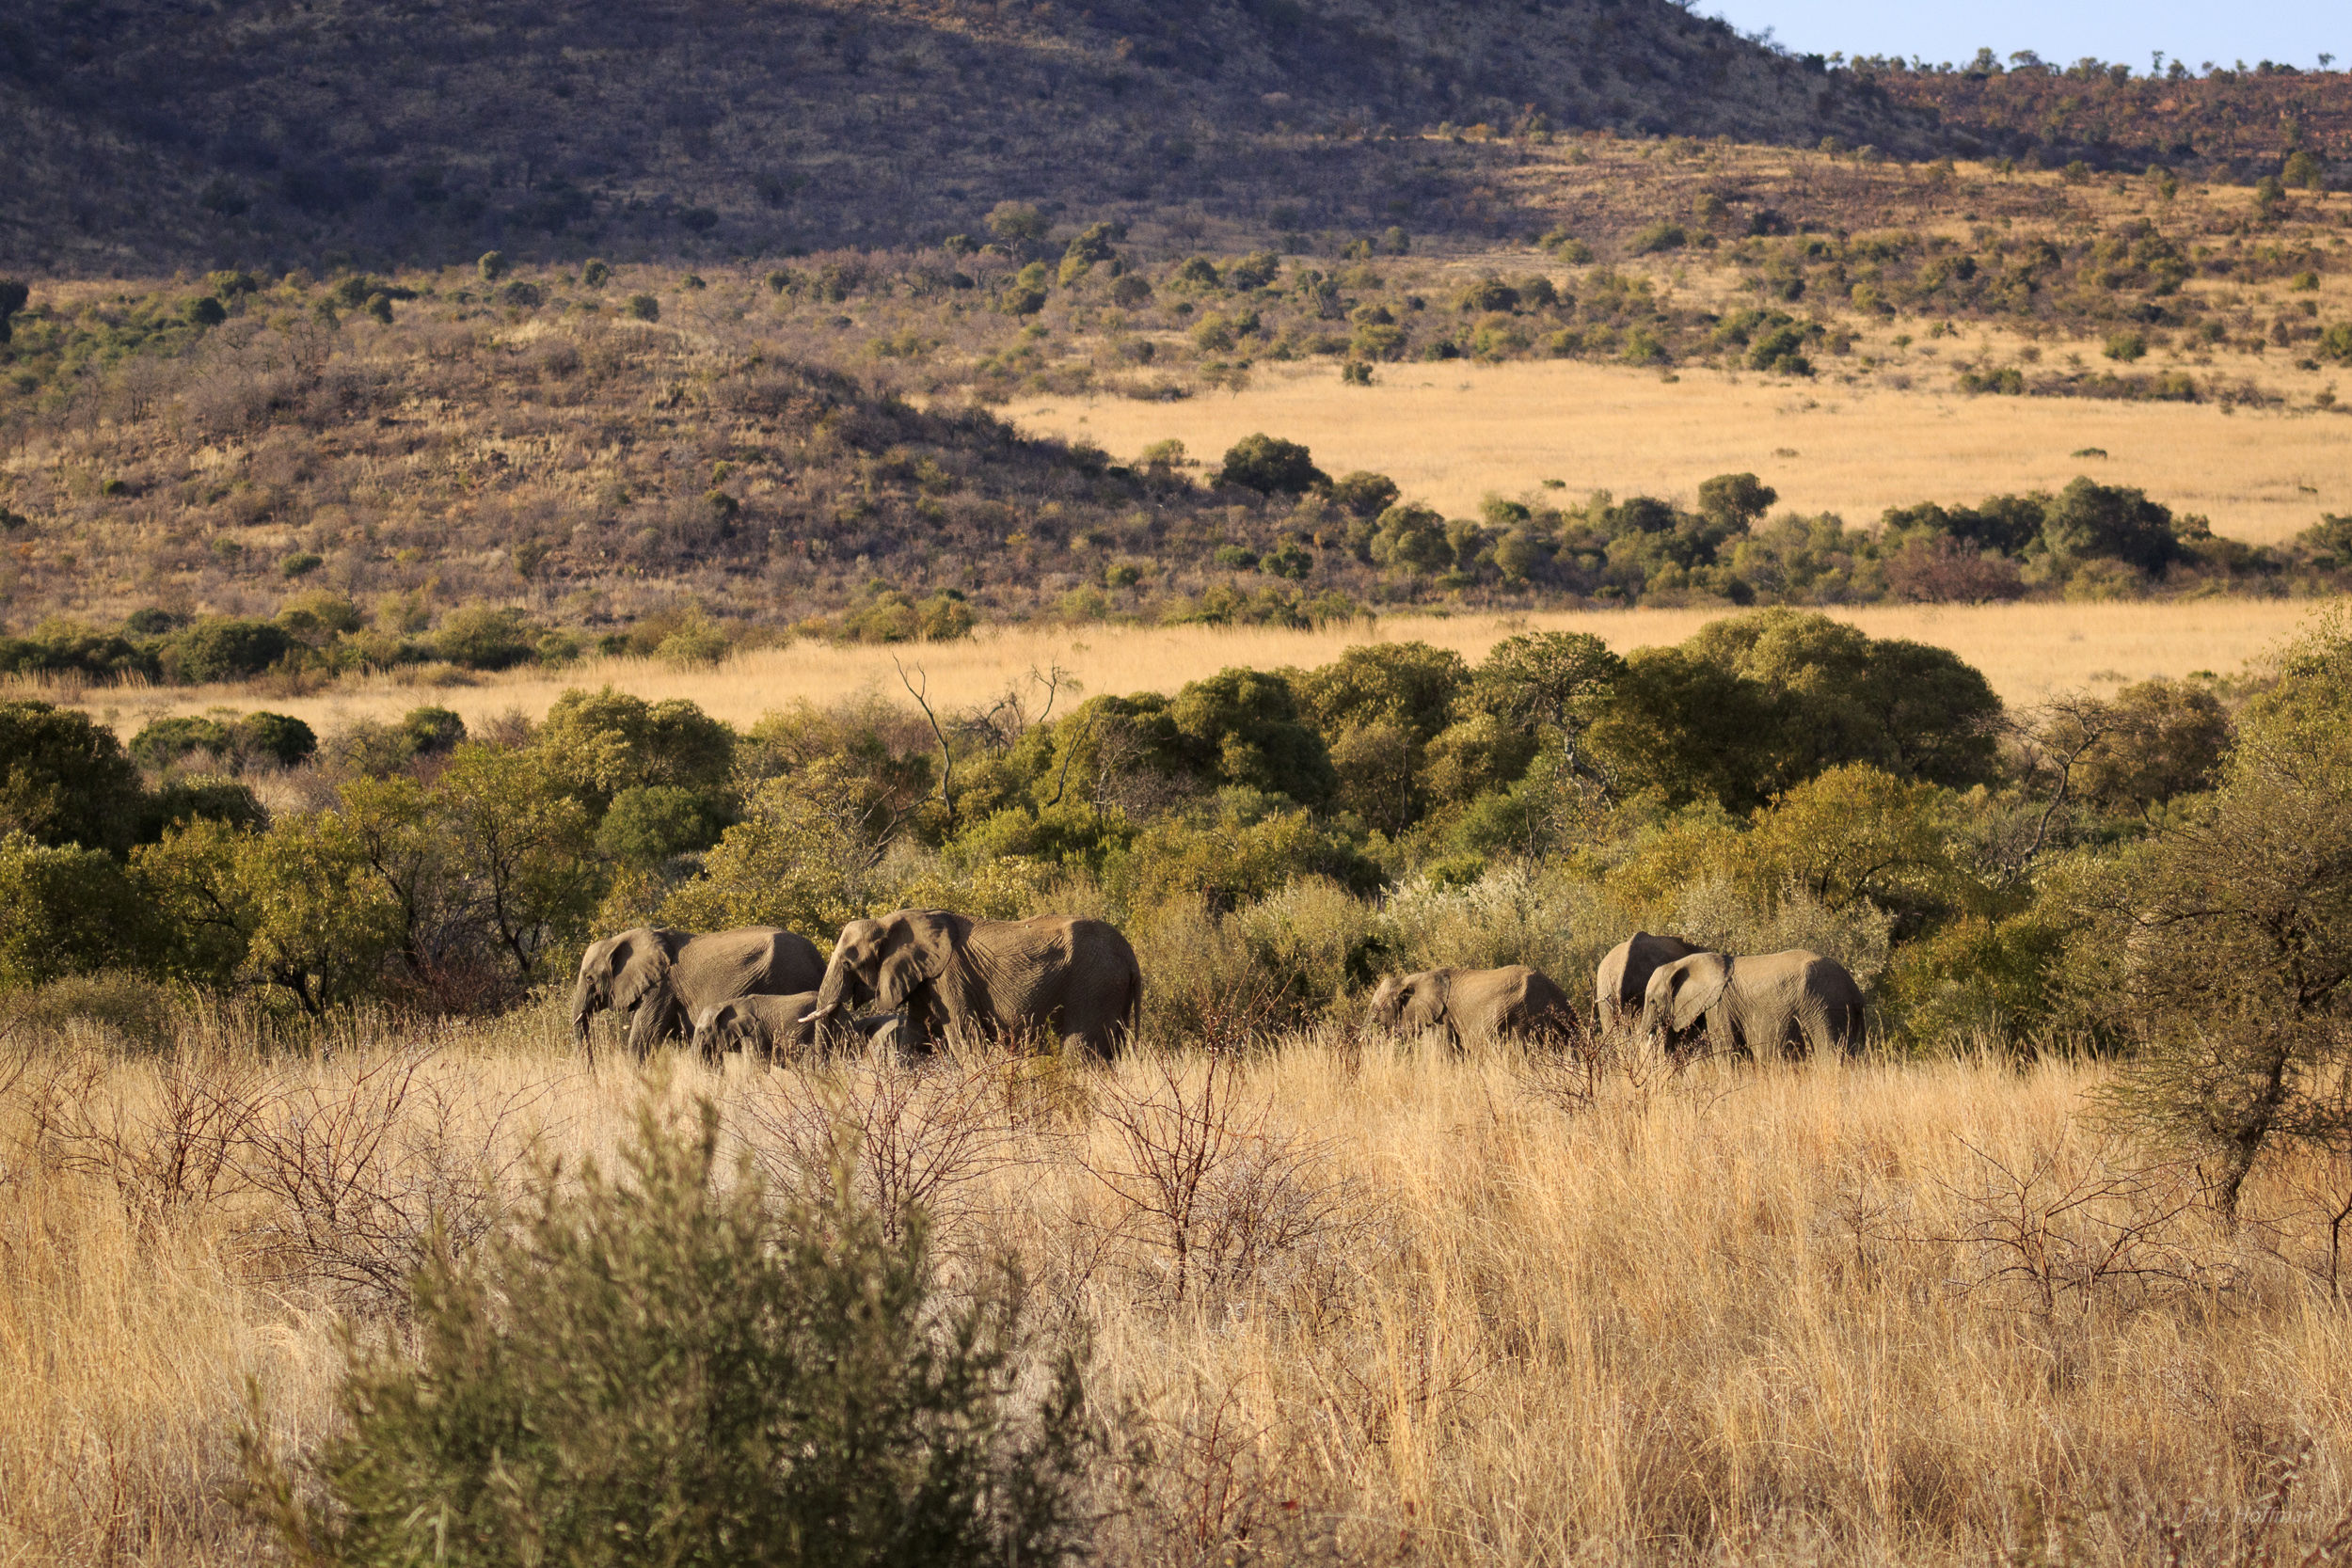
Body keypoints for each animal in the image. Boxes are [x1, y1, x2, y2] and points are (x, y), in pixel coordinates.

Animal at [569, 925, 826, 1061]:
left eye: (589, 978)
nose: (592, 1076)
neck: (619, 940)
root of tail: (818, 958)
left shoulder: (661, 988)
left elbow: (643, 1039)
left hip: (788, 979)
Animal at [810, 910, 1141, 1061]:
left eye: (847, 964)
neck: (889, 921)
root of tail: (1129, 954)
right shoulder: (925, 981)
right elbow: (916, 1036)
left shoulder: (950, 979)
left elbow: (965, 1041)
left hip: (1095, 987)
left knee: (1080, 1055)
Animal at [1639, 949, 1866, 1062]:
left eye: (1652, 1001)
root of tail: (1854, 989)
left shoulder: (1719, 1006)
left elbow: (1727, 1052)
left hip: (1824, 1007)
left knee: (1830, 1053)